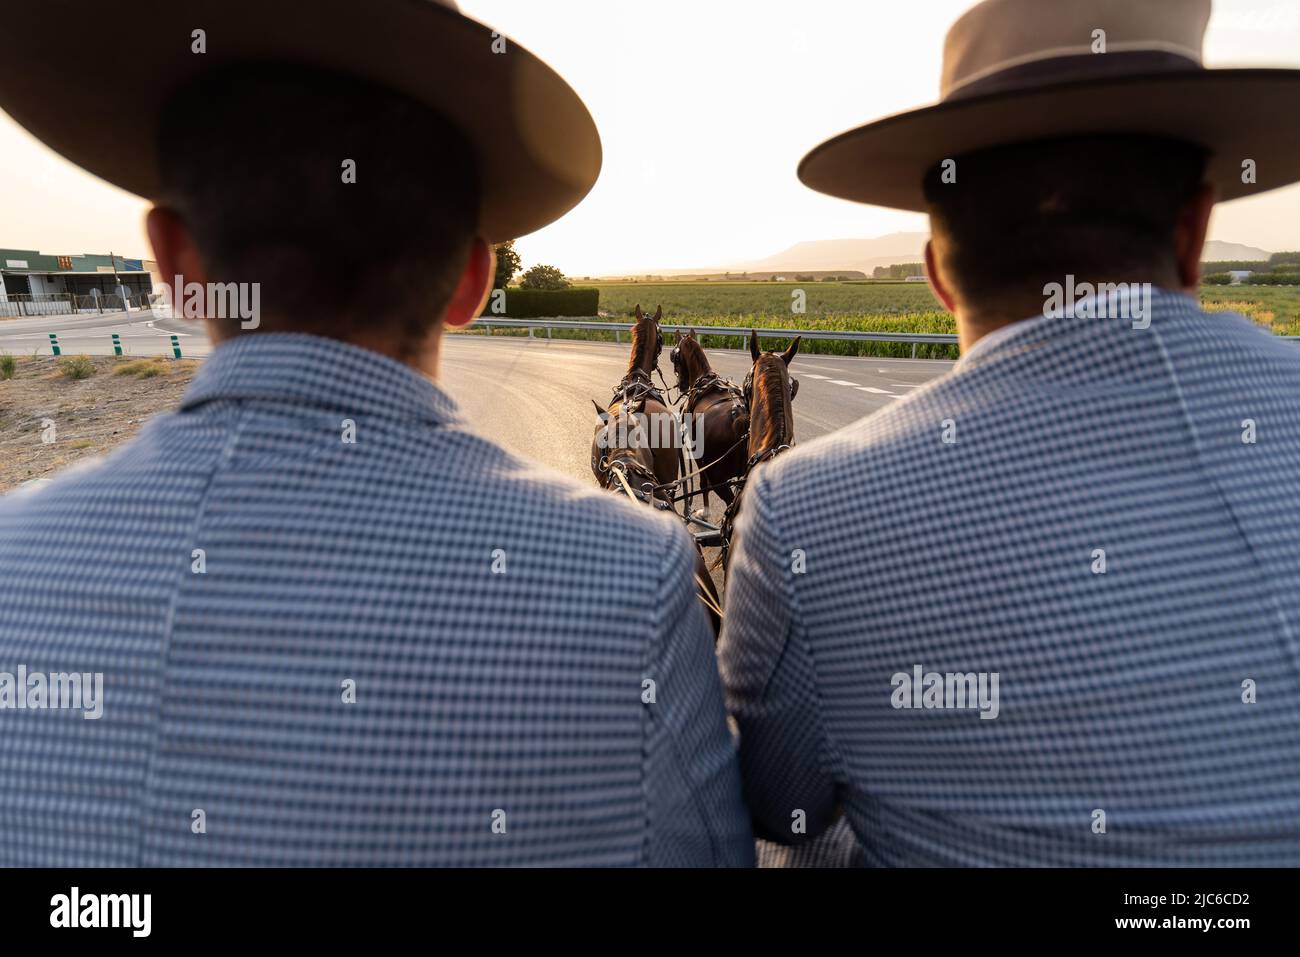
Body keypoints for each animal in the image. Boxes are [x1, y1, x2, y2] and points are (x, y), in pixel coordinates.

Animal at [670, 332, 754, 520]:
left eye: (675, 358)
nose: (682, 385)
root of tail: (740, 419)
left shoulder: (700, 457)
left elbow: (703, 483)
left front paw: (705, 512)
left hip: (717, 478)